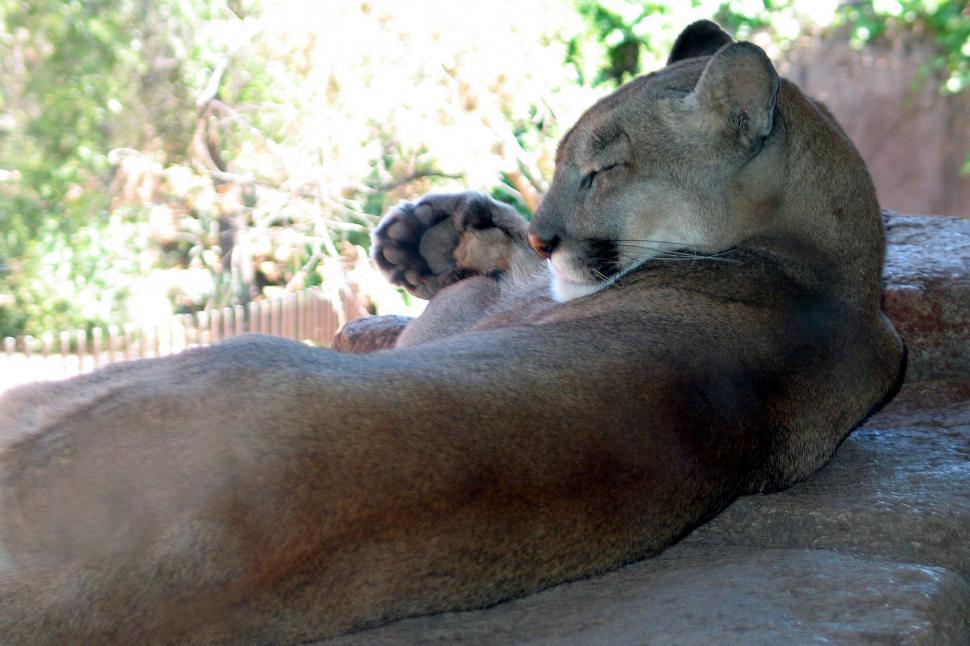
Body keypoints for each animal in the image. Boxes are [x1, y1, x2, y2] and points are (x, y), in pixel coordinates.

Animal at [0, 21, 903, 643]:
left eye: (605, 167)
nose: (544, 233)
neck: (833, 276)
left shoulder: (480, 318)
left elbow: (465, 302)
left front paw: (439, 243)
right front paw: (440, 232)